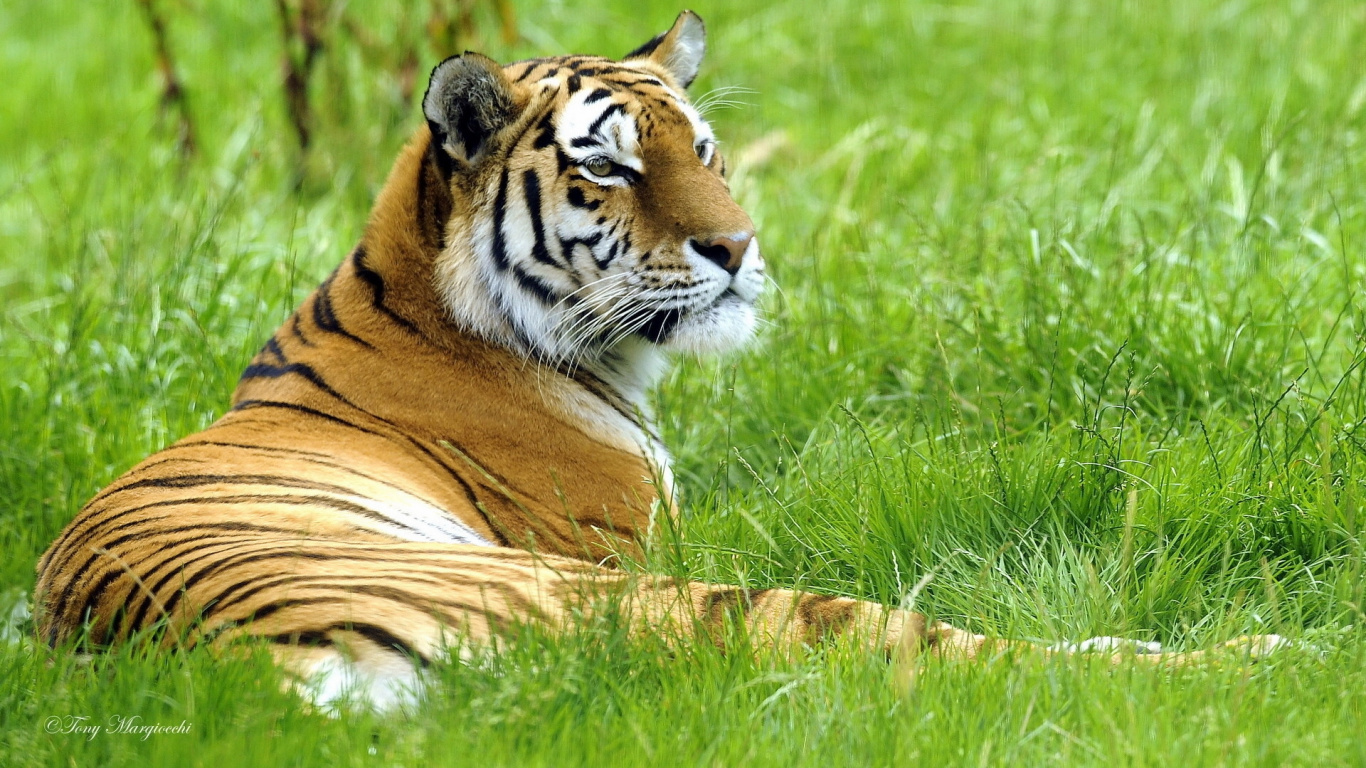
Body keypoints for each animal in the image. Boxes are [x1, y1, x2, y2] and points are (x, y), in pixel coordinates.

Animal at [34, 11, 1285, 708]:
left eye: (706, 150)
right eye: (611, 167)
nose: (739, 246)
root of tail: (211, 664)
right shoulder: (637, 546)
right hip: (620, 602)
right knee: (936, 649)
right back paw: (1253, 656)